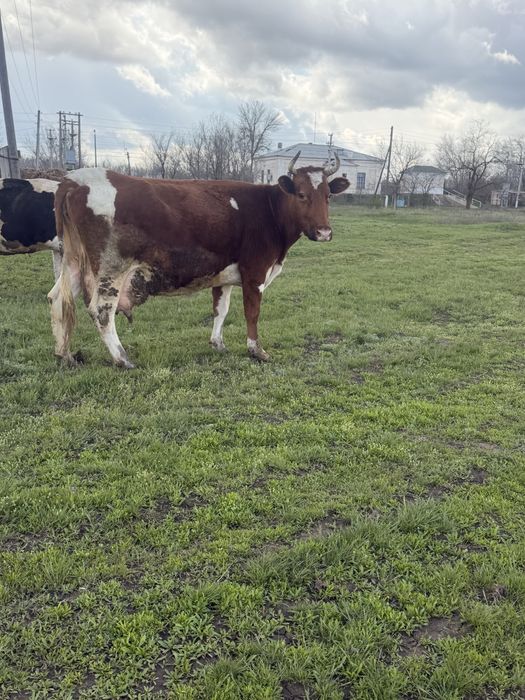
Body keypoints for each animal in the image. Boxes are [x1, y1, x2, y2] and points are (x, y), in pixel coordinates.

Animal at [48, 152, 349, 368]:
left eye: (328, 196)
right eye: (301, 194)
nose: (324, 232)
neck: (269, 210)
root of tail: (74, 180)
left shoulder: (225, 274)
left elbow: (220, 310)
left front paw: (218, 343)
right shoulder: (255, 273)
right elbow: (252, 312)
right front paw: (257, 350)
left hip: (73, 261)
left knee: (57, 299)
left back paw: (65, 355)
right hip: (111, 268)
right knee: (101, 310)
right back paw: (122, 358)